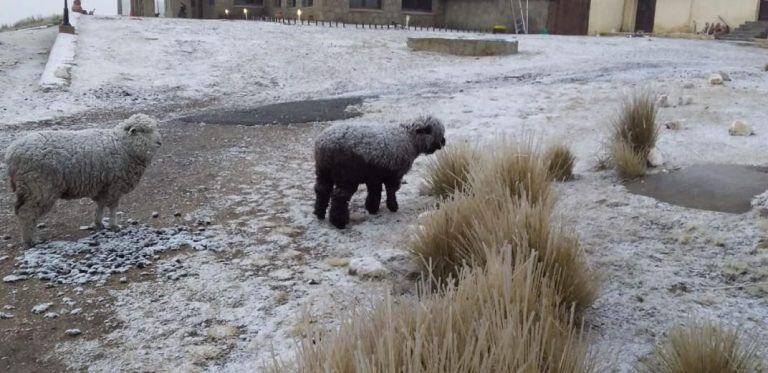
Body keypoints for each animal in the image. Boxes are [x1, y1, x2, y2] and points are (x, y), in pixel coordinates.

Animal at [4, 114, 162, 247]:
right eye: (145, 131)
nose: (160, 142)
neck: (123, 145)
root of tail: (11, 154)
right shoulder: (115, 185)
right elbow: (112, 208)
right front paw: (115, 226)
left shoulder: (103, 186)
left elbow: (100, 205)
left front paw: (99, 224)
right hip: (40, 187)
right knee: (27, 213)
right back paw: (31, 240)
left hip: (28, 189)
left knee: (22, 211)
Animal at [312, 115, 444, 228]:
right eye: (431, 131)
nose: (443, 142)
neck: (409, 140)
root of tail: (324, 145)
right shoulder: (394, 174)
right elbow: (391, 191)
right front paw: (393, 207)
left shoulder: (374, 175)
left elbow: (375, 192)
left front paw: (372, 208)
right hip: (346, 176)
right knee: (339, 196)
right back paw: (338, 222)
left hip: (323, 172)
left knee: (321, 190)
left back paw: (319, 213)